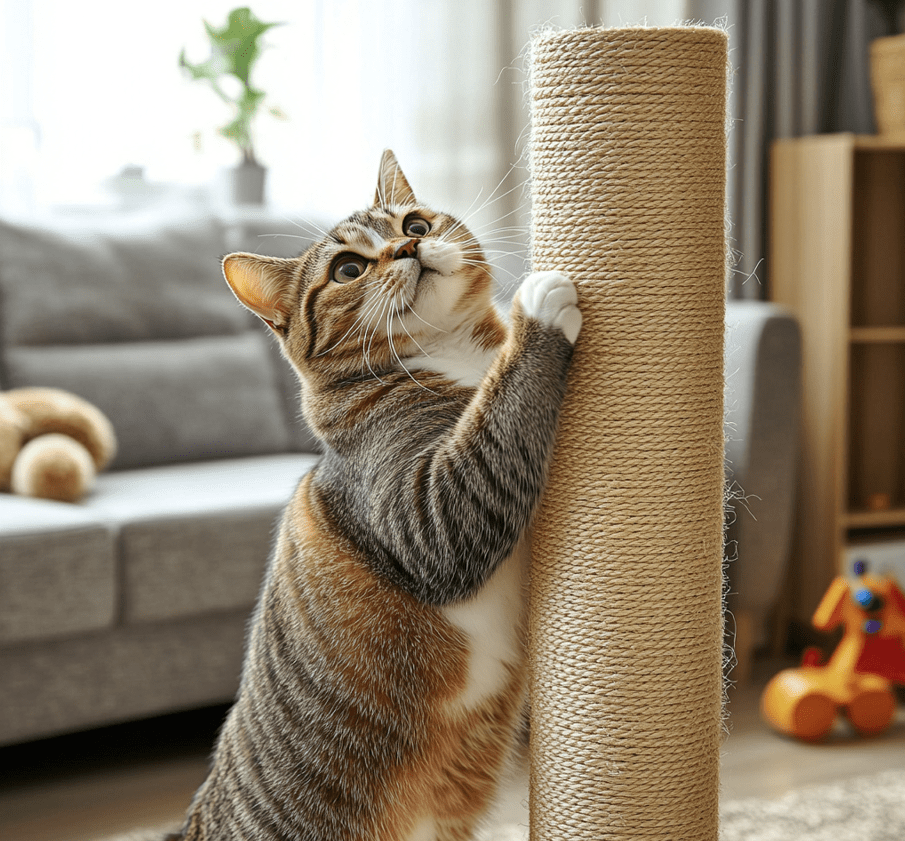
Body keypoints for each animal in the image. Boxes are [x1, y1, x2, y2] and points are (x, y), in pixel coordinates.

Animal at [165, 151, 580, 840]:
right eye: (348, 269)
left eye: (414, 222)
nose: (408, 245)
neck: (453, 357)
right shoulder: (426, 518)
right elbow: (493, 427)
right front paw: (540, 310)